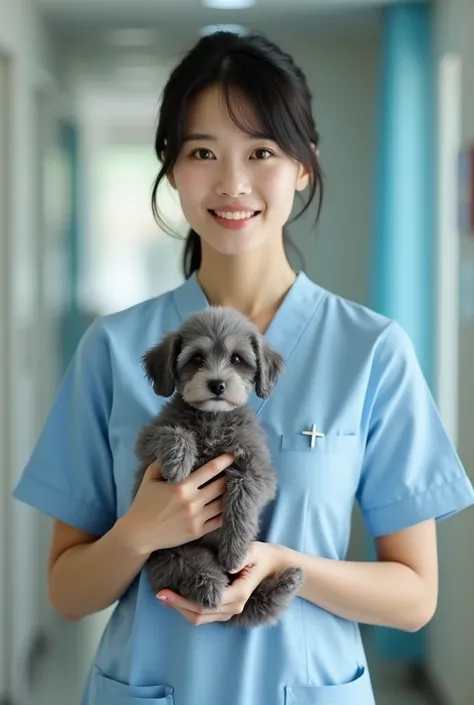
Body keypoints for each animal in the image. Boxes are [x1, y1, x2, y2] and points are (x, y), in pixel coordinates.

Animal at [132, 306, 304, 624]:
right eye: (196, 358)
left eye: (237, 359)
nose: (217, 384)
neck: (212, 419)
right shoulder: (147, 438)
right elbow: (175, 433)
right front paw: (178, 461)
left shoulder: (258, 469)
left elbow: (242, 495)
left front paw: (235, 549)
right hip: (171, 554)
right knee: (190, 568)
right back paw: (209, 585)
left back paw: (286, 582)